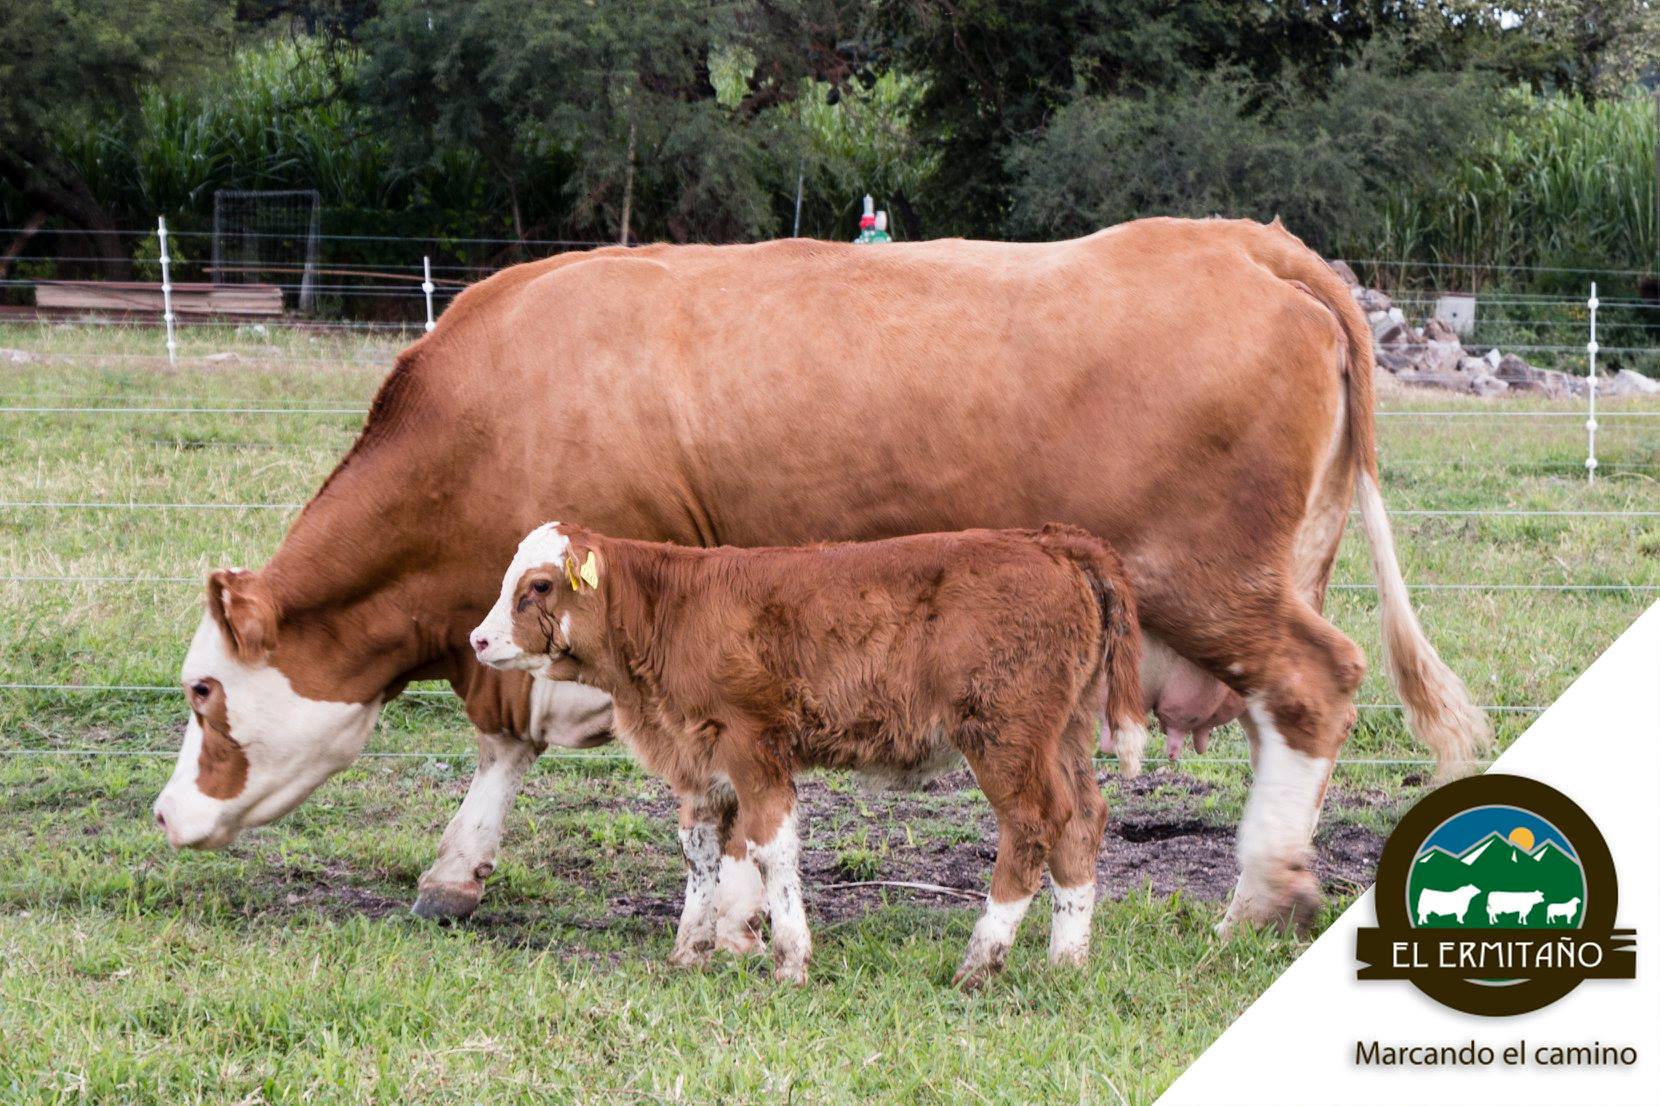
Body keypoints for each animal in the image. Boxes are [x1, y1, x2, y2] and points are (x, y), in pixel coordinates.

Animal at [152, 217, 1492, 934]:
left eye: (203, 692)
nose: (164, 815)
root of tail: (1239, 241)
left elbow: (547, 742)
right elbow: (508, 746)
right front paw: (458, 869)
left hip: (1210, 580)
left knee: (1316, 685)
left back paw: (1257, 891)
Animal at [468, 521, 1144, 986]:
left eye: (539, 585)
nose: (478, 639)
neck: (668, 613)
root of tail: (1050, 540)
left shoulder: (753, 744)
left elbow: (773, 850)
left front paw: (790, 960)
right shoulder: (700, 761)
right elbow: (700, 852)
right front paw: (689, 951)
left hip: (1003, 731)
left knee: (1033, 824)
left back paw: (979, 963)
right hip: (1064, 731)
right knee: (1083, 820)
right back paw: (1067, 961)